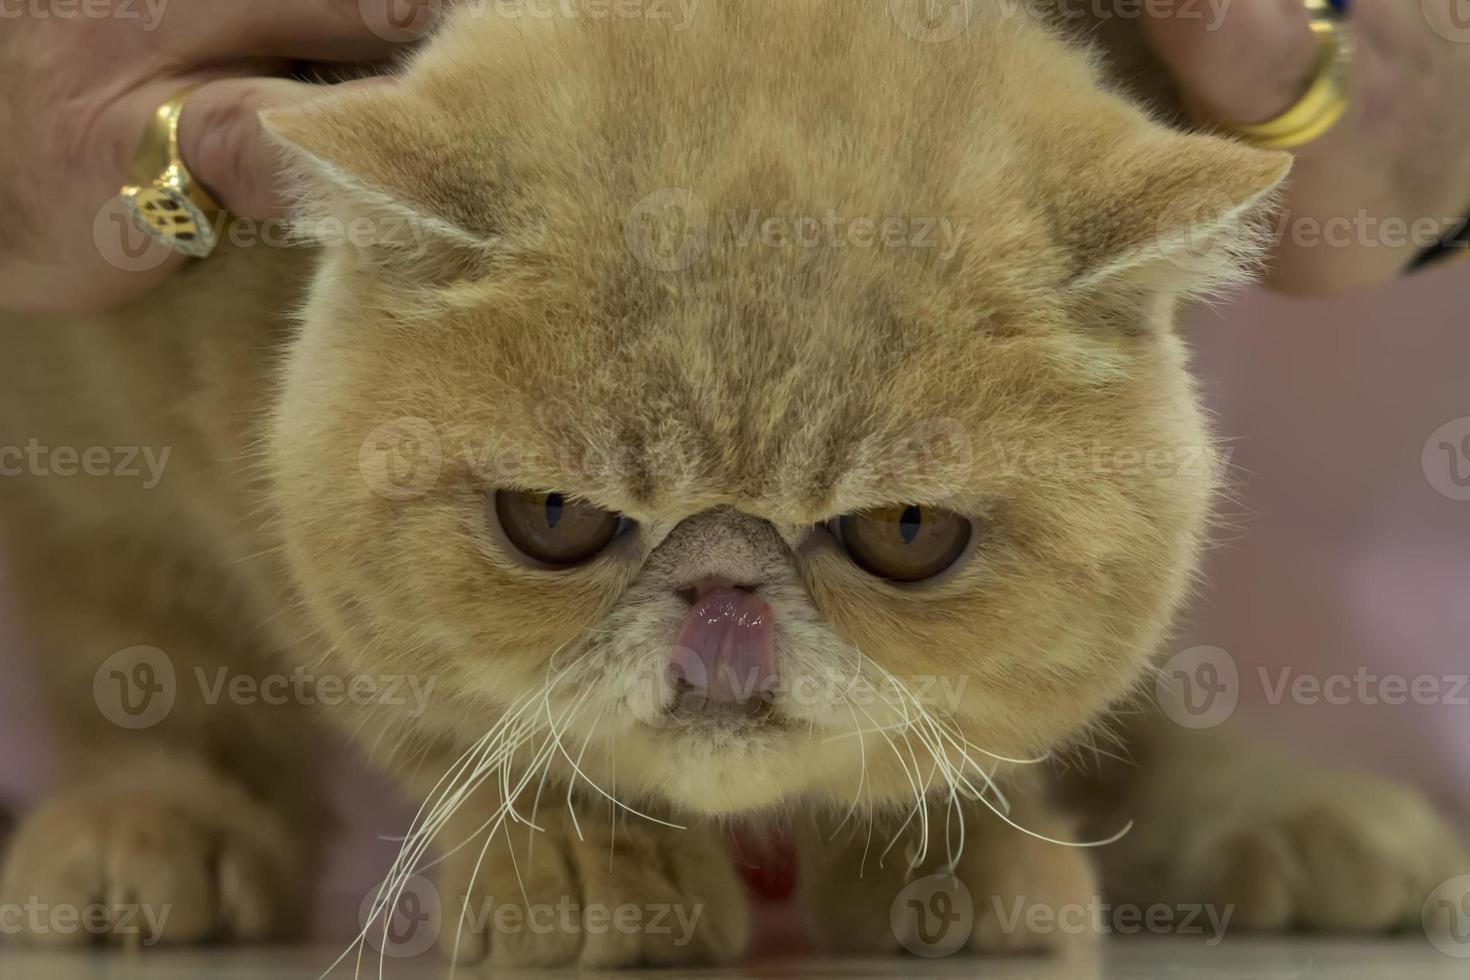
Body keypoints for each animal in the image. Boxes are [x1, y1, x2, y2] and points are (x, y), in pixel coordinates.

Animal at [0, 0, 1464, 963]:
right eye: (553, 519)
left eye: (906, 532)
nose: (722, 587)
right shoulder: (208, 427)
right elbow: (403, 693)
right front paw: (586, 859)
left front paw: (949, 856)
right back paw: (145, 830)